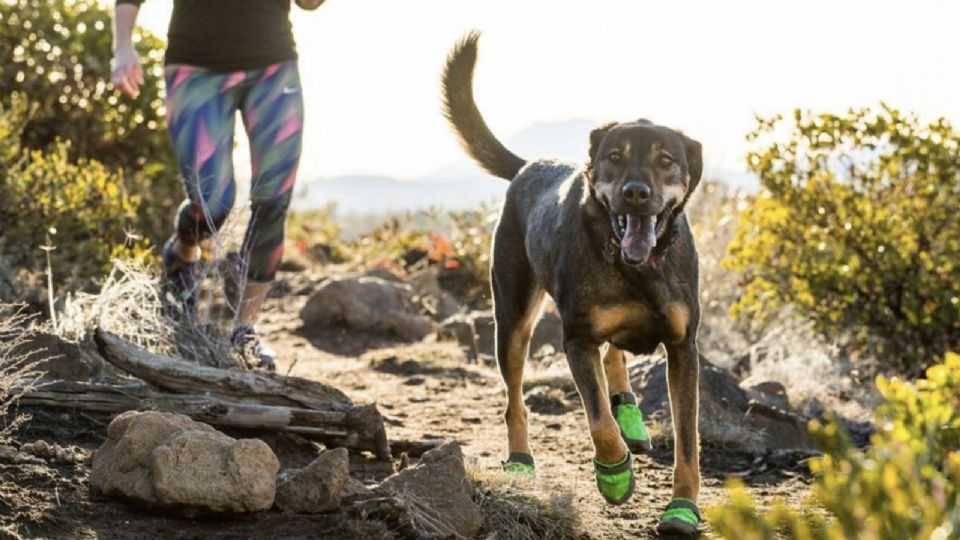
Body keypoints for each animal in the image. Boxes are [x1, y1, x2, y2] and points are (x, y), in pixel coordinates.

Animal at [442, 32, 704, 536]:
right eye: (614, 158)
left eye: (665, 161)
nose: (635, 193)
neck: (636, 269)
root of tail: (530, 165)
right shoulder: (577, 339)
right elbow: (598, 419)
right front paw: (615, 475)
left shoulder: (683, 348)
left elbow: (688, 438)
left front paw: (683, 507)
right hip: (512, 318)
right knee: (515, 400)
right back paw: (521, 460)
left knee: (615, 356)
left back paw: (630, 414)